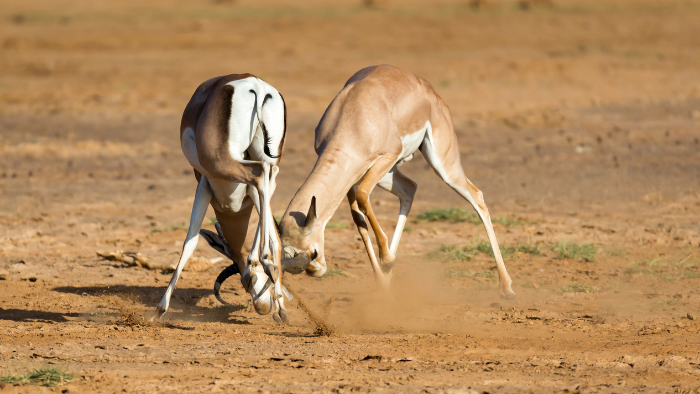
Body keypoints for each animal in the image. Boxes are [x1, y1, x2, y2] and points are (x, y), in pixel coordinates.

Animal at [153, 73, 308, 324]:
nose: (263, 307)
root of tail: (256, 86)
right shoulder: (249, 192)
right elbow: (271, 228)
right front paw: (280, 304)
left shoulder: (204, 184)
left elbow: (190, 240)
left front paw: (159, 310)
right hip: (270, 159)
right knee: (267, 174)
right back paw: (267, 264)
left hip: (224, 162)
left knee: (258, 172)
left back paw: (263, 259)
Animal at [278, 64, 516, 298]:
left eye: (311, 251)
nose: (315, 271)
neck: (352, 117)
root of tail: (427, 88)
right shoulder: (351, 177)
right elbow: (358, 219)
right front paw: (383, 281)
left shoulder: (386, 156)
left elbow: (363, 197)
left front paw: (387, 259)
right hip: (387, 174)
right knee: (410, 188)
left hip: (439, 163)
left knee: (476, 196)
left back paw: (506, 287)